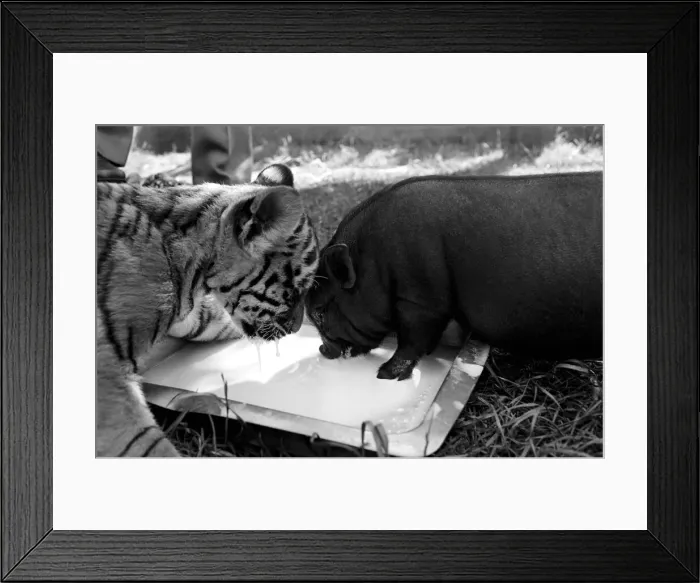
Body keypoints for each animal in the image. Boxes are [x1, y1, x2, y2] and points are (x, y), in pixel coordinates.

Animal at [97, 164, 320, 457]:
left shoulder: (193, 314)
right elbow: (145, 444)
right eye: (294, 292)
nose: (296, 328)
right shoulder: (106, 376)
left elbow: (216, 322)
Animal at [305, 171, 603, 381]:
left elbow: (411, 339)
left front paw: (384, 374)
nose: (322, 350)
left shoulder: (421, 300)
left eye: (320, 311)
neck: (374, 262)